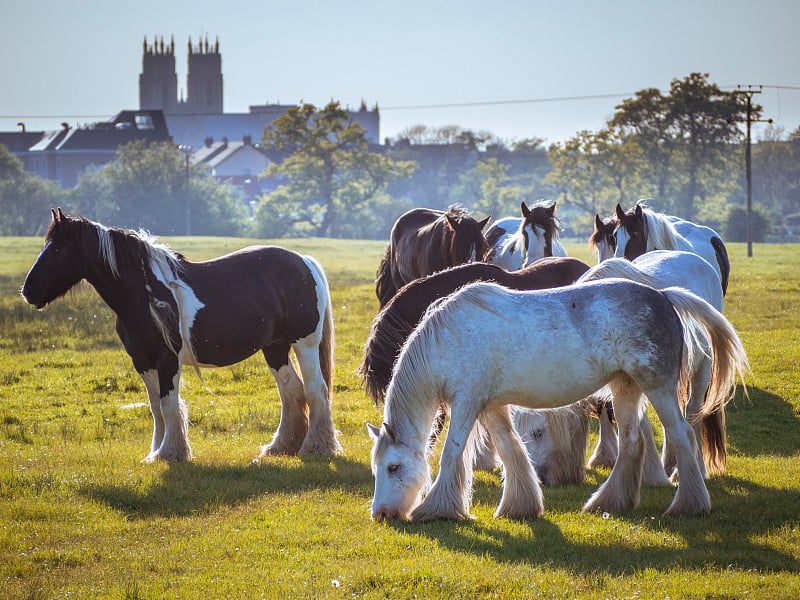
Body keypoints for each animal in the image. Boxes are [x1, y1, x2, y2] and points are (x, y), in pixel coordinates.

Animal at [21, 212, 340, 464]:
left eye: (59, 248)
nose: (28, 290)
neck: (144, 294)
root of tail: (304, 261)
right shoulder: (143, 361)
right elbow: (155, 409)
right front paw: (154, 453)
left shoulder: (167, 360)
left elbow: (169, 406)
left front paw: (170, 453)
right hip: (275, 348)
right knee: (291, 391)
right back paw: (281, 447)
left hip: (304, 344)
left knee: (316, 390)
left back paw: (315, 447)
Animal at [372, 278, 748, 516]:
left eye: (393, 467)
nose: (382, 514)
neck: (451, 338)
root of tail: (664, 297)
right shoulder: (491, 406)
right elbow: (511, 449)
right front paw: (520, 507)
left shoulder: (466, 404)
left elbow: (451, 454)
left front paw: (436, 509)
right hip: (626, 388)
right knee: (631, 442)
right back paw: (607, 503)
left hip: (657, 388)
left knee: (682, 436)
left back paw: (689, 505)